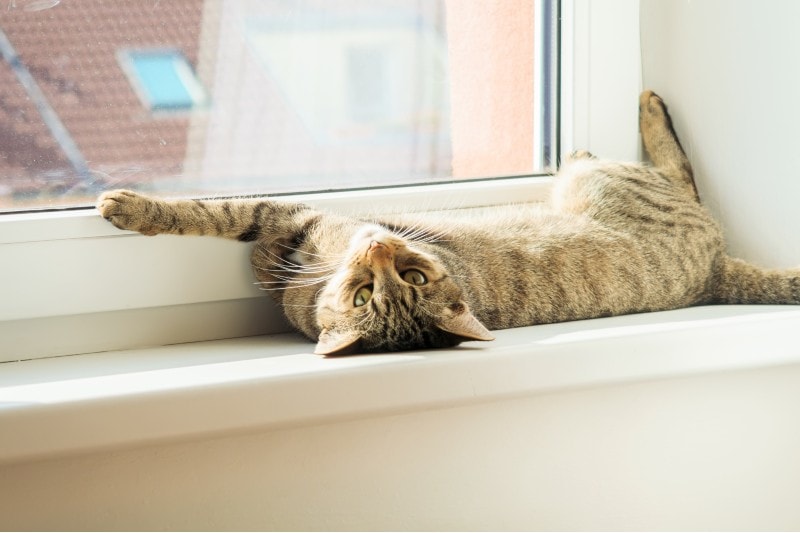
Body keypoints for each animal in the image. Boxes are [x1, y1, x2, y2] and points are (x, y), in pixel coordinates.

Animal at [97, 90, 800, 358]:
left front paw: (125, 205)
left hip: (604, 184)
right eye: (367, 293)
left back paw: (635, 115)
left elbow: (215, 212)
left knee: (679, 173)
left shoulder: (292, 213)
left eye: (407, 278)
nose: (379, 245)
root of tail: (715, 273)